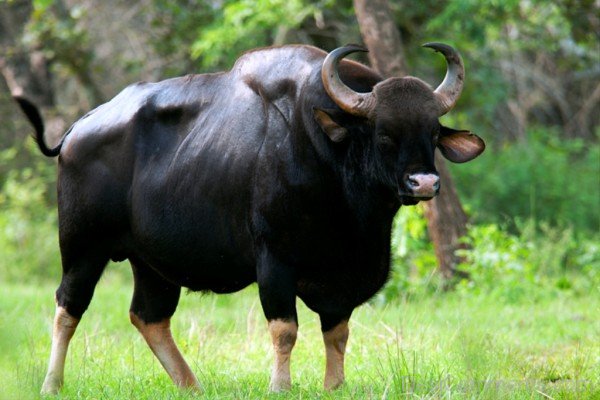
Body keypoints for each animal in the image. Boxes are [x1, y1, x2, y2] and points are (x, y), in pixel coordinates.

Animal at [16, 43, 486, 394]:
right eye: (384, 135)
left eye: (432, 133)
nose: (424, 183)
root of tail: (77, 130)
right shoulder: (274, 260)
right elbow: (285, 329)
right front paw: (280, 386)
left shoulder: (342, 275)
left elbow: (337, 333)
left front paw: (335, 385)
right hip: (81, 247)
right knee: (68, 308)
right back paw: (52, 384)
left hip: (151, 262)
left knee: (149, 316)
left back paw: (191, 386)